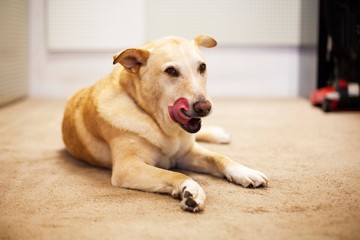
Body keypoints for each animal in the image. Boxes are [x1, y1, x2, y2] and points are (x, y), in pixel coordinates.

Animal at [62, 35, 268, 212]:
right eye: (171, 71)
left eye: (202, 67)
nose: (205, 107)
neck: (165, 128)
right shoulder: (128, 168)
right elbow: (172, 174)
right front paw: (190, 189)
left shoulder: (185, 153)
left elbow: (219, 158)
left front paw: (243, 171)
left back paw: (218, 134)